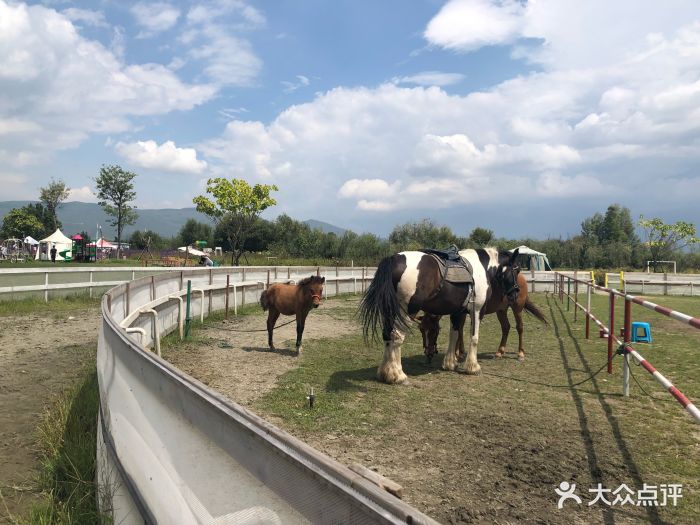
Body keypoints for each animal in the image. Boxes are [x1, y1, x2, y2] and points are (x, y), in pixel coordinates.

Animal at [360, 248, 520, 382]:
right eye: (517, 270)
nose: (515, 293)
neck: (481, 268)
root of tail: (394, 259)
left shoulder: (457, 312)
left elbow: (453, 335)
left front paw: (450, 363)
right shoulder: (477, 310)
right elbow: (474, 338)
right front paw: (473, 367)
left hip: (390, 312)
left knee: (387, 335)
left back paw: (384, 373)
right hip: (406, 311)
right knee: (397, 337)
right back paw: (397, 375)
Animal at [416, 270, 548, 360]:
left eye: (433, 330)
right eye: (421, 329)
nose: (427, 353)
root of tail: (519, 276)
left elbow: (459, 329)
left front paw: (457, 353)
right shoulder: (461, 313)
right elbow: (460, 329)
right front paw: (460, 352)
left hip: (517, 308)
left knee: (519, 327)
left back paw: (520, 353)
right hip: (501, 310)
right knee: (506, 327)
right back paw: (500, 351)